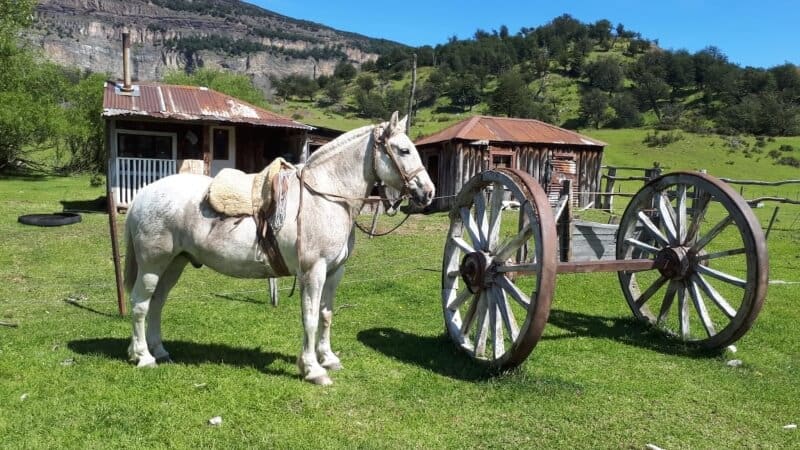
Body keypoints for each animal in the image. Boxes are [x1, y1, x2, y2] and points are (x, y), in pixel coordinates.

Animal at [124, 112, 434, 384]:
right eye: (404, 150)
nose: (428, 192)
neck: (326, 197)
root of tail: (143, 194)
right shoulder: (313, 272)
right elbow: (310, 318)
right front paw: (312, 369)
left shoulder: (335, 272)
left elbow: (326, 315)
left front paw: (328, 358)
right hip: (153, 265)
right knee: (140, 304)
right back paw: (144, 357)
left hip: (175, 263)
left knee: (157, 303)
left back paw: (159, 351)